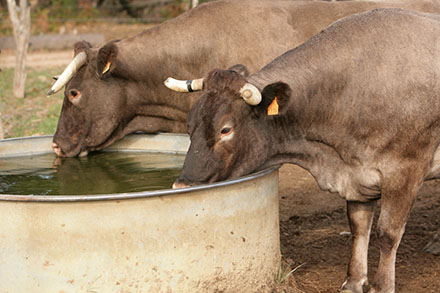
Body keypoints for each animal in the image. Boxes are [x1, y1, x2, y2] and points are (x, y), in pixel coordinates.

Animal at [165, 8, 440, 290]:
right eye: (189, 124)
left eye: (225, 130)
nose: (181, 186)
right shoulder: (357, 173)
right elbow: (359, 226)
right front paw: (353, 281)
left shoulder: (404, 170)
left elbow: (387, 233)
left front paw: (381, 286)